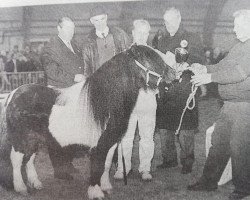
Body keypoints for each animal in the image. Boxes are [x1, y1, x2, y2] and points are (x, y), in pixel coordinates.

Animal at [0, 44, 175, 199]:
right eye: (149, 59)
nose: (173, 75)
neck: (105, 101)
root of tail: (13, 94)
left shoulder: (110, 143)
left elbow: (106, 165)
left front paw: (106, 187)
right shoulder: (98, 145)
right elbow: (97, 166)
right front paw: (96, 192)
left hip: (34, 138)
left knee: (29, 159)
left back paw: (36, 183)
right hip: (21, 138)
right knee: (17, 160)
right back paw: (21, 188)